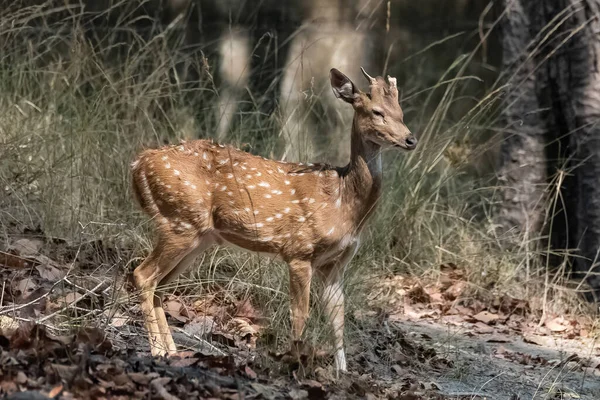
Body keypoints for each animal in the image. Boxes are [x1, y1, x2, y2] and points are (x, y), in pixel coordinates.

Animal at [130, 67, 418, 374]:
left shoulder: (335, 263)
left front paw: (342, 373)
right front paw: (298, 366)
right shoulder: (299, 251)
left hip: (198, 236)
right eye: (377, 112)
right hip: (179, 222)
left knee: (160, 286)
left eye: (401, 111)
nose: (411, 139)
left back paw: (172, 352)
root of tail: (138, 164)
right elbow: (300, 314)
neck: (344, 203)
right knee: (143, 275)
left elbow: (338, 319)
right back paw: (157, 351)